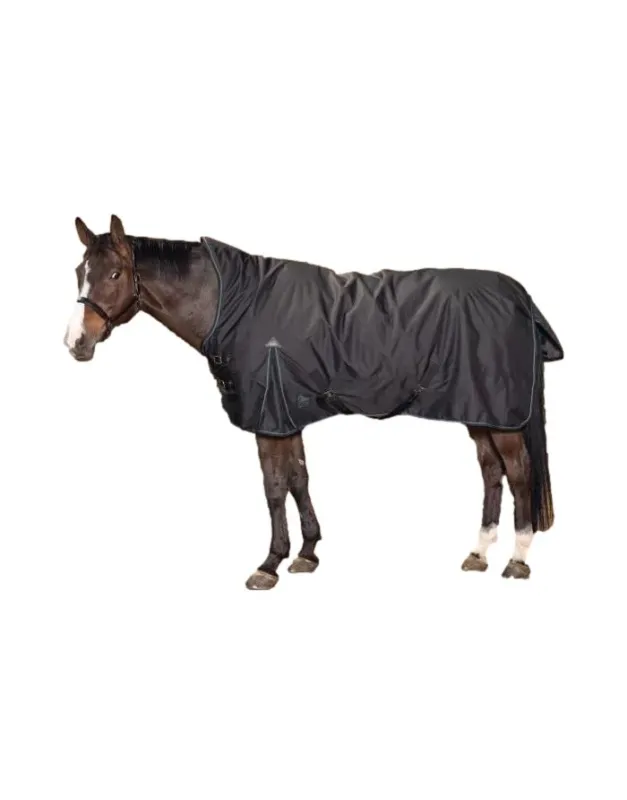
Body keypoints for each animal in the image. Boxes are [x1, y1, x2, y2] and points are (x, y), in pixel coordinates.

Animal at [64, 215, 563, 589]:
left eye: (114, 274)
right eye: (78, 273)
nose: (75, 343)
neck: (231, 304)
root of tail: (519, 295)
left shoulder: (269, 418)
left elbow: (273, 487)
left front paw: (270, 564)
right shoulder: (285, 416)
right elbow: (298, 479)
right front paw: (306, 554)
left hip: (501, 416)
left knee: (519, 475)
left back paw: (517, 561)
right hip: (479, 411)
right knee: (492, 473)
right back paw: (478, 552)